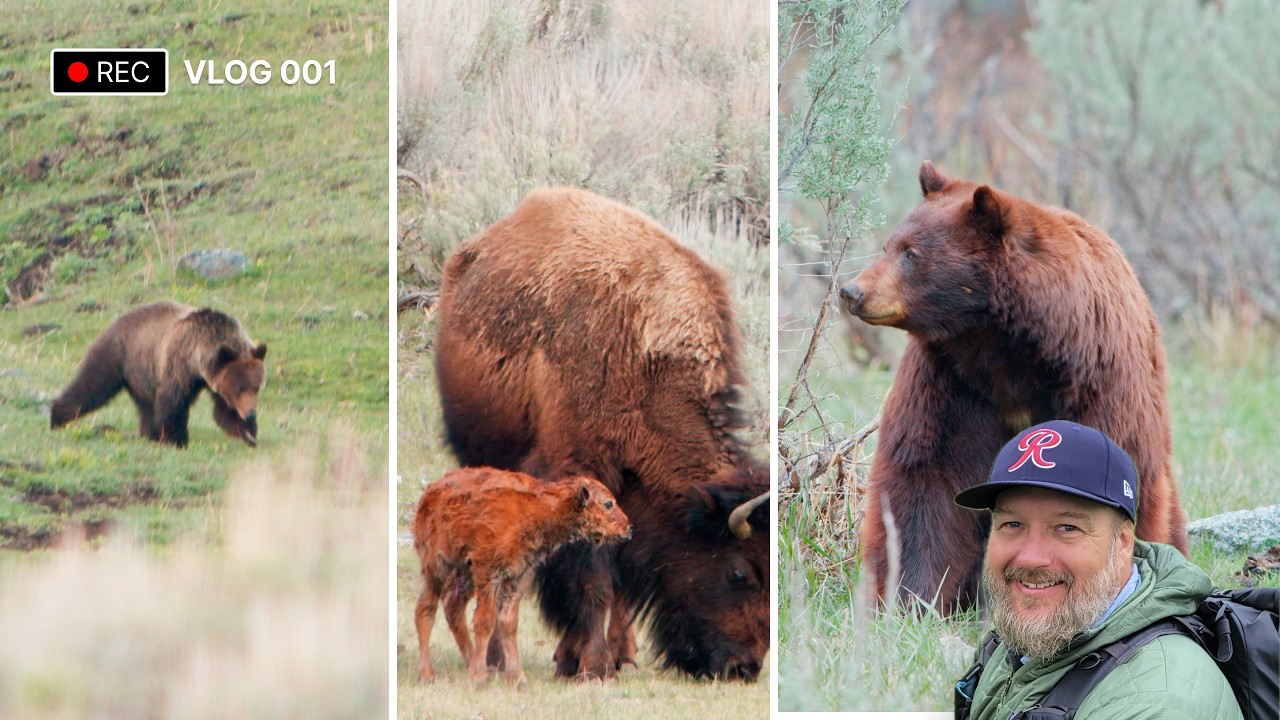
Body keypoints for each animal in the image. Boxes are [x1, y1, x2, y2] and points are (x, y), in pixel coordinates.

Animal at [50, 301, 267, 448]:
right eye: (240, 388)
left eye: (256, 387)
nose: (251, 413)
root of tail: (117, 320)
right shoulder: (179, 363)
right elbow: (173, 402)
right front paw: (176, 439)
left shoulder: (214, 376)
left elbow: (224, 410)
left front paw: (248, 433)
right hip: (117, 354)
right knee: (91, 385)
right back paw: (57, 416)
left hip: (142, 373)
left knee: (145, 406)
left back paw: (149, 434)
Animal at [838, 161, 1188, 614]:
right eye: (888, 246)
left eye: (911, 254)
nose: (852, 291)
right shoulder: (949, 380)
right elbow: (926, 476)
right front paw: (910, 598)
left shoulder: (1097, 379)